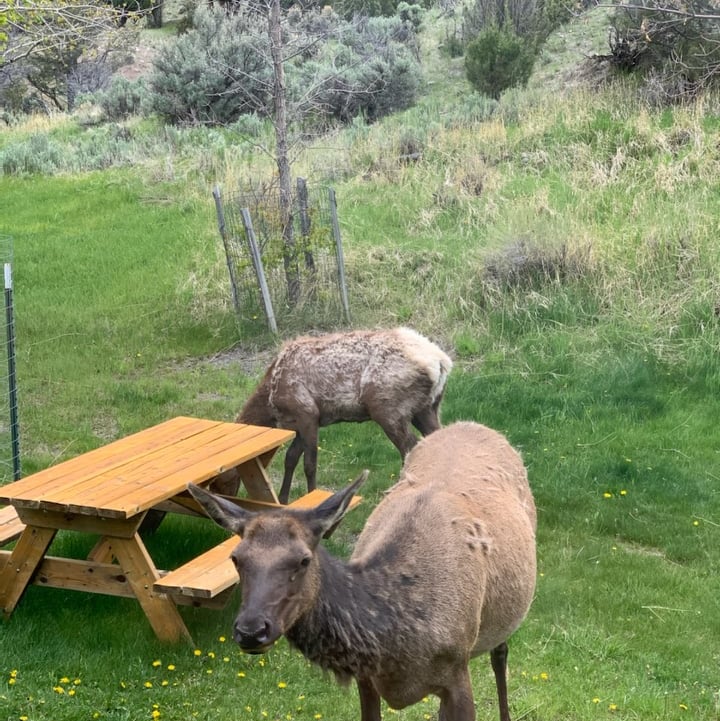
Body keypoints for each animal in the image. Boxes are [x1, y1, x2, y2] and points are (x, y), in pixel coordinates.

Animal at [188, 421, 537, 721]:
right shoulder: (366, 680)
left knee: (500, 653)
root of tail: (472, 424)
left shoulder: (457, 672)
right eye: (236, 559)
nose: (251, 630)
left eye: (303, 559)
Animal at [236, 327, 453, 504]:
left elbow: (309, 464)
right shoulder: (303, 423)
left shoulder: (307, 412)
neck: (272, 404)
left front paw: (313, 497)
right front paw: (283, 499)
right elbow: (290, 458)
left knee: (410, 447)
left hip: (388, 407)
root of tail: (441, 362)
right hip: (428, 407)